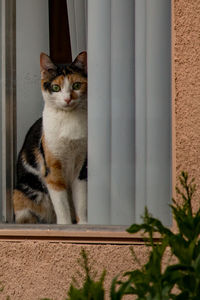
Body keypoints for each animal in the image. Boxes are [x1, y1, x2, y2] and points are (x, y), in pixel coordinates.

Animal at [12, 51, 87, 224]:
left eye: (76, 85)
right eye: (56, 87)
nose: (67, 99)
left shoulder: (81, 167)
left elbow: (81, 201)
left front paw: (83, 224)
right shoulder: (52, 169)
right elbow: (61, 204)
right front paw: (65, 226)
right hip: (21, 194)